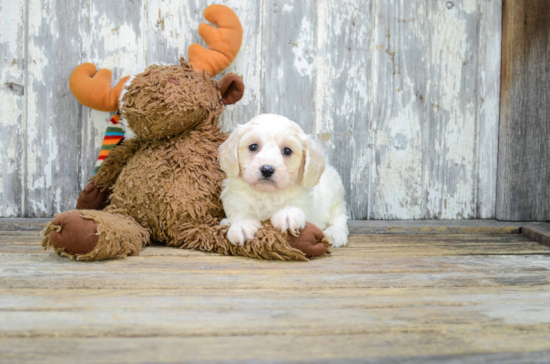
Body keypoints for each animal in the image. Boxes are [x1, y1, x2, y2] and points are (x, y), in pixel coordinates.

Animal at [219, 114, 350, 247]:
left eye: (287, 151)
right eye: (253, 146)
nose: (267, 169)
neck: (266, 194)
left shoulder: (308, 205)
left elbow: (295, 204)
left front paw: (288, 213)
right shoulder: (233, 200)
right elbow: (238, 213)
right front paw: (242, 225)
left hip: (336, 197)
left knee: (339, 217)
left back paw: (334, 233)